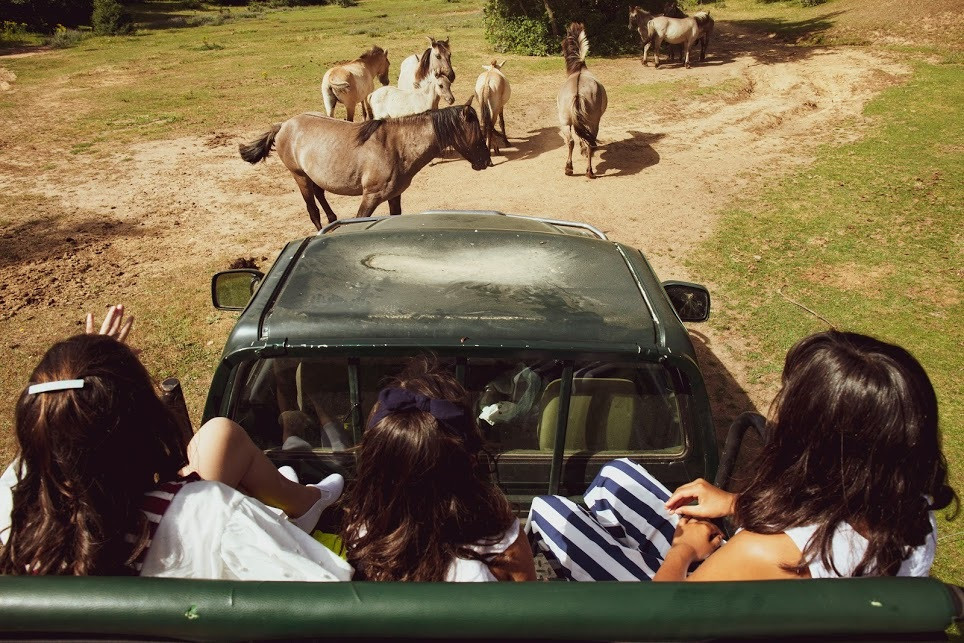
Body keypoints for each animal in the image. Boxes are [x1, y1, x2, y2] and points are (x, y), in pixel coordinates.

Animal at [241, 104, 490, 228]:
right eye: (477, 131)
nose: (486, 161)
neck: (396, 146)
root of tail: (284, 125)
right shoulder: (370, 197)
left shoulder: (394, 195)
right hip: (299, 176)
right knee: (313, 212)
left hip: (314, 175)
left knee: (320, 194)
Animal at [552, 23, 608, 179]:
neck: (580, 69)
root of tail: (577, 92)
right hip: (592, 123)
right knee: (588, 142)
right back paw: (589, 171)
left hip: (565, 122)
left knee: (570, 141)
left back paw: (569, 169)